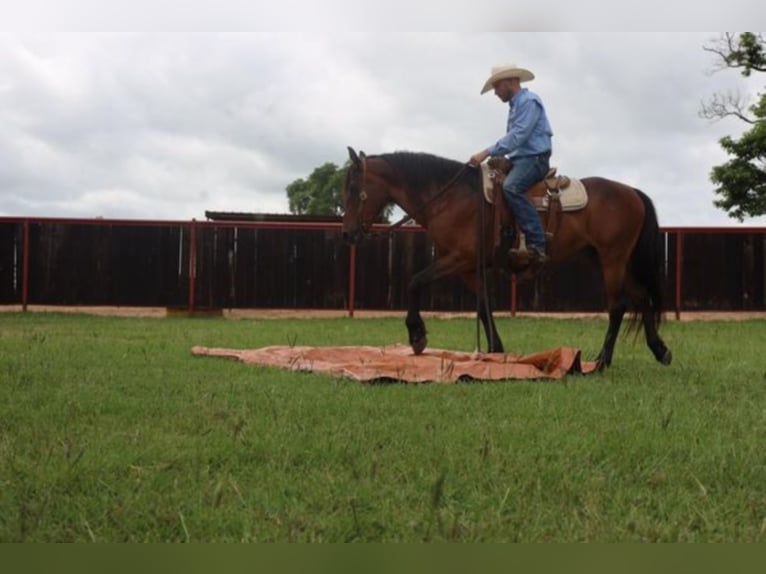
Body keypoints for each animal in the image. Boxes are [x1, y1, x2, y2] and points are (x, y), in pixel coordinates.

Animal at [342, 146, 672, 368]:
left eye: (355, 188)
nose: (347, 234)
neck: (451, 198)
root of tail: (632, 192)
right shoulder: (469, 269)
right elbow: (483, 306)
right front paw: (496, 350)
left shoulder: (459, 259)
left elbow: (415, 281)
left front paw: (417, 337)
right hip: (603, 258)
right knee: (641, 298)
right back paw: (660, 351)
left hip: (612, 259)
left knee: (618, 306)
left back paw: (603, 360)